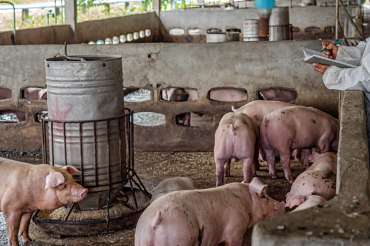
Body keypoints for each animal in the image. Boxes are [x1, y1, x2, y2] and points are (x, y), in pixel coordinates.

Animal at [134, 177, 284, 246]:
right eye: (264, 196)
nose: (283, 205)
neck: (247, 204)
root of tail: (155, 220)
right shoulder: (235, 229)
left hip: (141, 240)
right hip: (179, 239)